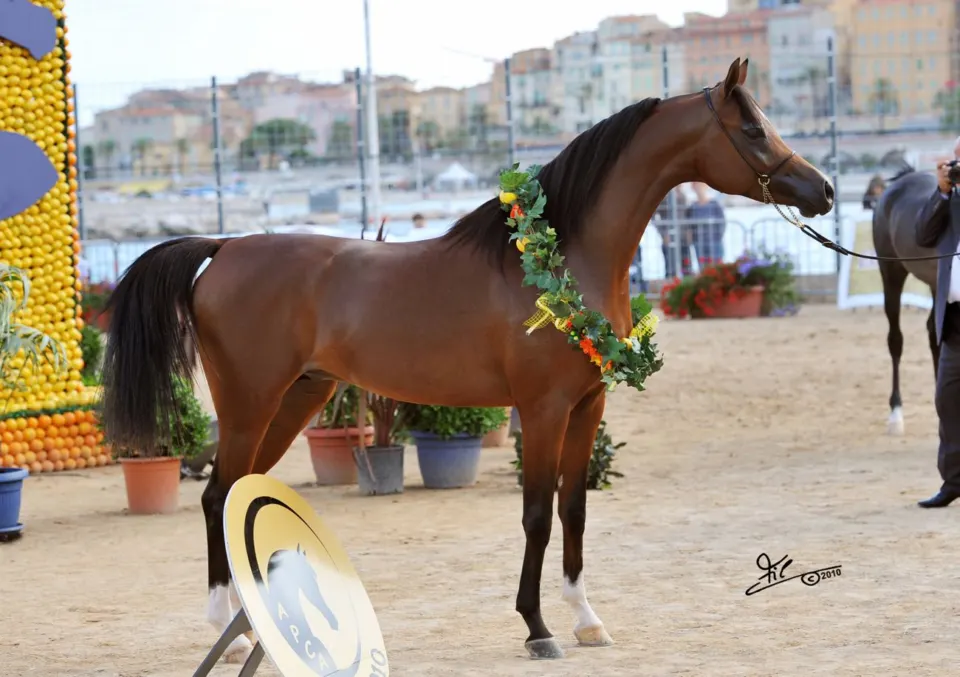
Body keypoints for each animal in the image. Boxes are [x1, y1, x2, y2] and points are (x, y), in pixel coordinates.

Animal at [99, 58, 833, 663]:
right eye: (754, 129)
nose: (822, 190)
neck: (564, 257)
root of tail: (224, 246)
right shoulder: (541, 410)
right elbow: (537, 513)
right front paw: (537, 627)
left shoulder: (587, 407)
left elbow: (574, 510)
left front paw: (586, 618)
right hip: (251, 402)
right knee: (216, 494)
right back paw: (231, 634)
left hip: (297, 397)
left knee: (233, 494)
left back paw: (255, 627)